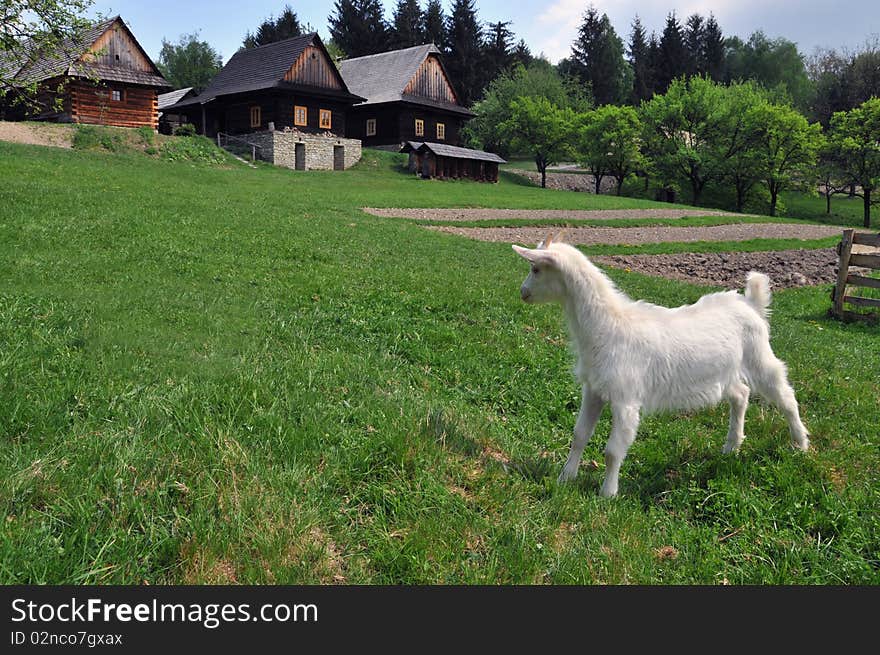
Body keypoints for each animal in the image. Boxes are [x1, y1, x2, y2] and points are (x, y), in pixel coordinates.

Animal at [516, 233, 812, 494]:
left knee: (785, 395)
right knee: (741, 393)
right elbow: (579, 435)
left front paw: (608, 493)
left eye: (536, 269)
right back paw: (732, 447)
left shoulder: (626, 398)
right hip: (725, 370)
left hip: (759, 355)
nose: (523, 293)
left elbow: (613, 451)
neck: (608, 325)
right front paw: (565, 478)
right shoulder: (594, 389)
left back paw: (800, 443)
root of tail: (751, 304)